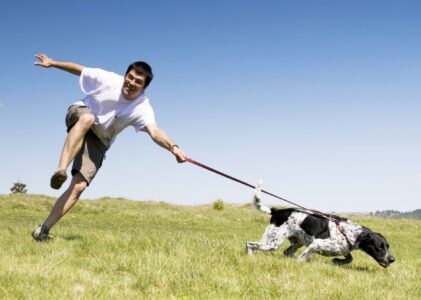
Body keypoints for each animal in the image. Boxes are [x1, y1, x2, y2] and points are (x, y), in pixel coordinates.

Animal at [244, 182, 396, 268]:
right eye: (379, 247)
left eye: (387, 246)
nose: (392, 259)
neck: (347, 233)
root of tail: (277, 211)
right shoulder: (315, 244)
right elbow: (304, 257)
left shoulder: (343, 250)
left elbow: (349, 259)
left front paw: (336, 261)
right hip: (272, 243)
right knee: (249, 244)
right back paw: (250, 257)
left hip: (295, 243)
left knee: (286, 252)